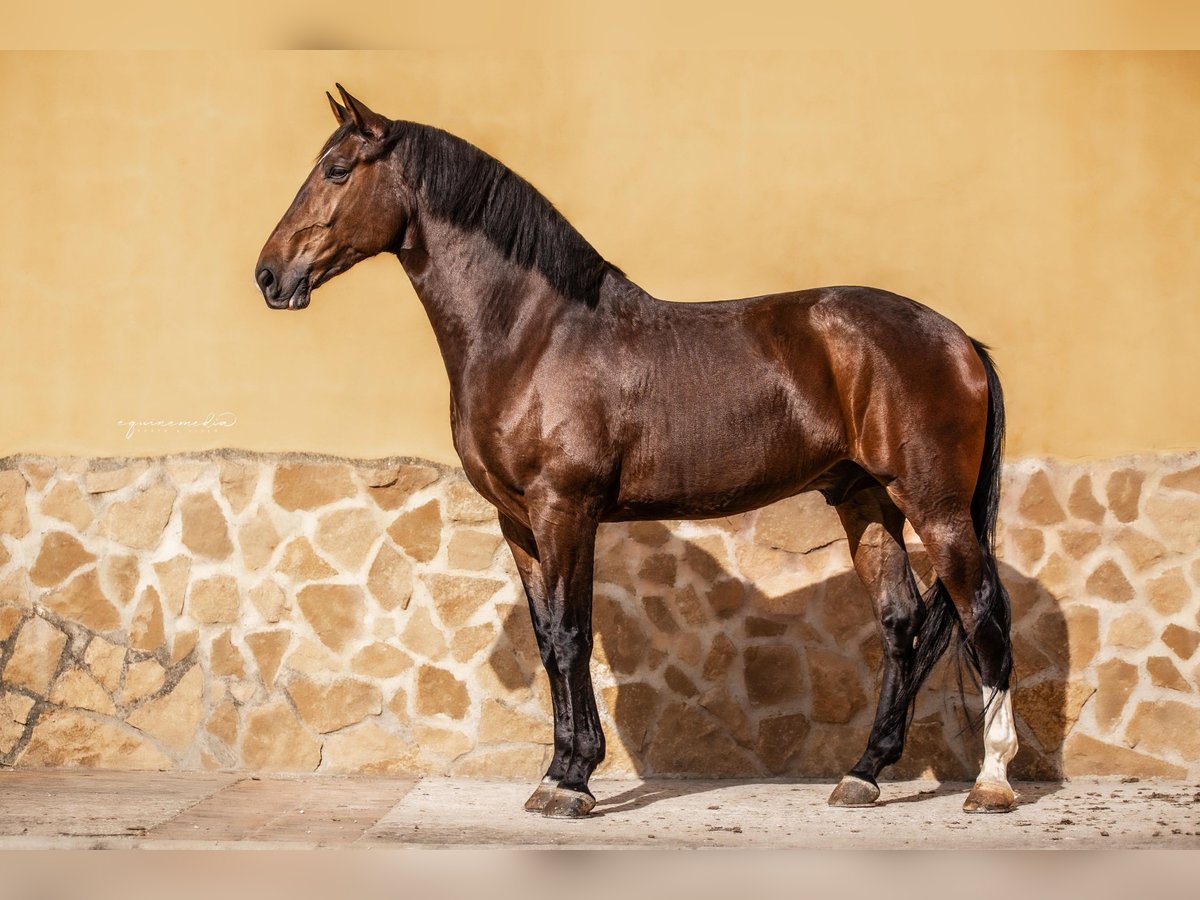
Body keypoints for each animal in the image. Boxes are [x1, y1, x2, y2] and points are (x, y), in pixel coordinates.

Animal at [258, 88, 1017, 820]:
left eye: (336, 170)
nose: (269, 275)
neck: (532, 333)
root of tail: (960, 339)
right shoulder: (518, 520)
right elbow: (547, 639)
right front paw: (558, 771)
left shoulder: (565, 508)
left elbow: (571, 634)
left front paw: (572, 782)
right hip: (863, 497)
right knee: (901, 620)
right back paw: (863, 773)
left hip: (935, 505)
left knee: (982, 611)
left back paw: (992, 784)